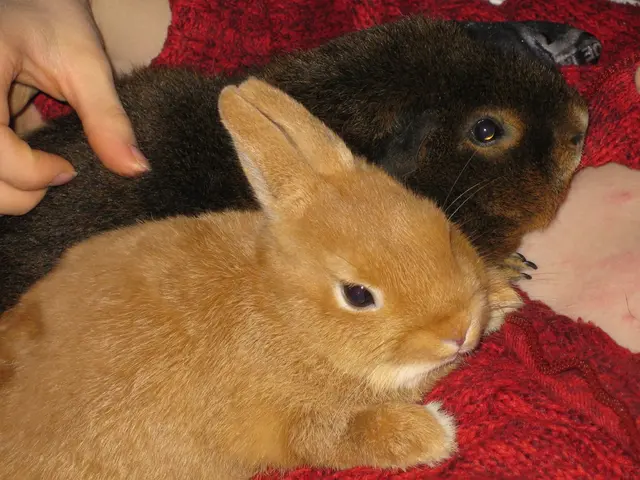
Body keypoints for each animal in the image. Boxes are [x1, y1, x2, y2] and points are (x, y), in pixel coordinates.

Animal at [0, 78, 522, 480]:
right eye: (358, 295)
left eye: (443, 229)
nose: (459, 330)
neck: (287, 315)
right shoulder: (299, 423)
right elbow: (342, 436)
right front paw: (437, 431)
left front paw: (503, 297)